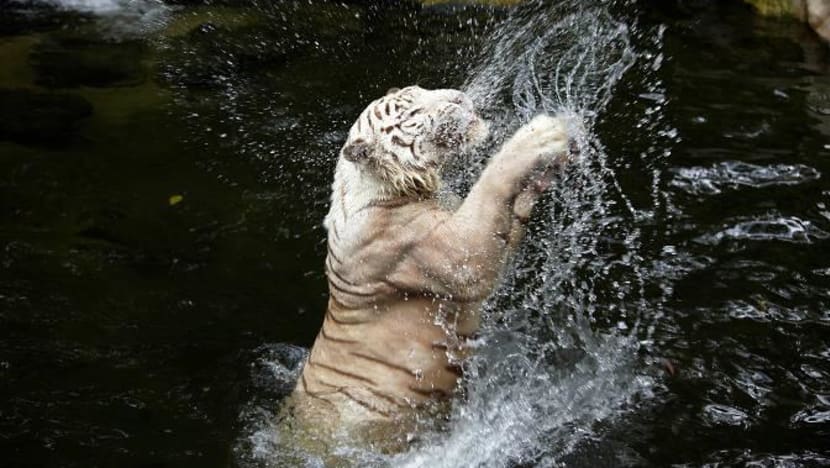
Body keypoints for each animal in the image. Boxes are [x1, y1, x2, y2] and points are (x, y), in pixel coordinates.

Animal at [283, 85, 574, 454]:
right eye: (413, 112)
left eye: (421, 89)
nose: (460, 98)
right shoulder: (450, 253)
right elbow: (487, 194)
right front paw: (541, 134)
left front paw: (545, 173)